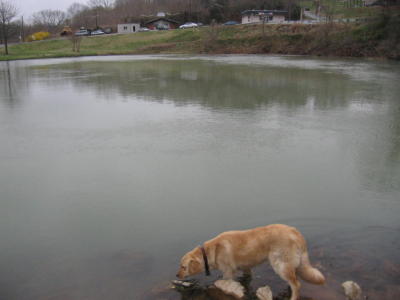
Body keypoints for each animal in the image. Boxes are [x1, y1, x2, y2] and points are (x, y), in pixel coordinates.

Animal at [177, 224, 324, 298]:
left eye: (183, 267)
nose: (177, 275)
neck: (212, 250)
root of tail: (296, 232)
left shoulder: (228, 272)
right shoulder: (246, 267)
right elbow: (247, 276)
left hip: (279, 264)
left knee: (296, 284)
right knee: (294, 280)